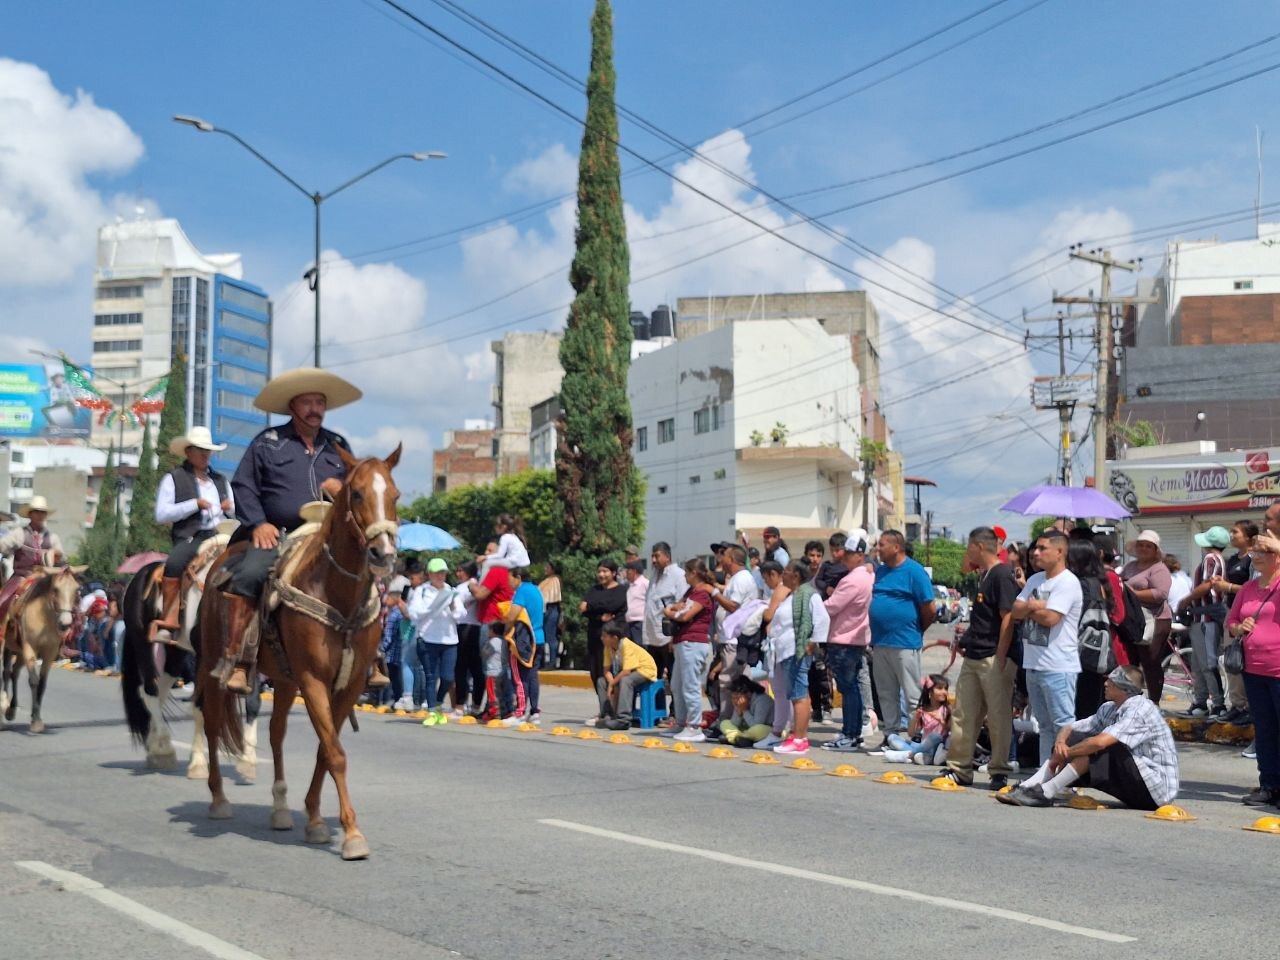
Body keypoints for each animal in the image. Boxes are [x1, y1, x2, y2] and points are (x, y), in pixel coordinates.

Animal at [1, 568, 83, 732]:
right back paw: (5, 704)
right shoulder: (29, 648)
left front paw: (36, 717)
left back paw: (11, 709)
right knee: (6, 672)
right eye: (55, 589)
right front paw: (35, 720)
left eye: (77, 589)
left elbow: (42, 683)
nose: (65, 624)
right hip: (8, 646)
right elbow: (33, 680)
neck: (44, 617)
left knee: (14, 672)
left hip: (19, 652)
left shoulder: (49, 653)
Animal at [190, 448, 394, 860]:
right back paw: (218, 798)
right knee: (213, 721)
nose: (384, 553)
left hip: (284, 680)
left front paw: (315, 820)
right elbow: (335, 753)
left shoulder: (347, 686)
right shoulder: (313, 680)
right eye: (358, 494)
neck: (335, 592)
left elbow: (326, 749)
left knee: (276, 733)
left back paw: (281, 808)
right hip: (213, 666)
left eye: (394, 495)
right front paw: (352, 836)